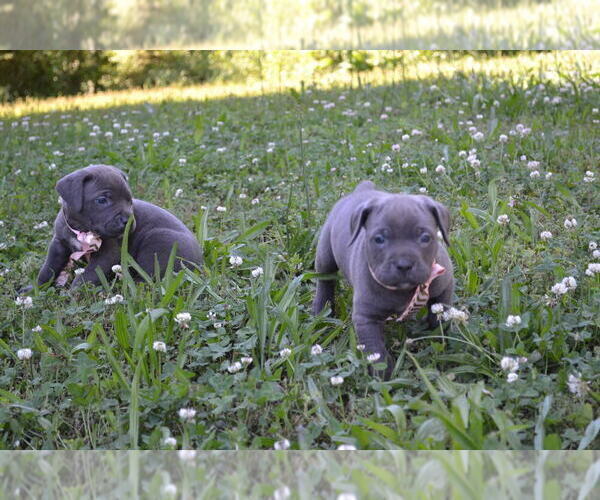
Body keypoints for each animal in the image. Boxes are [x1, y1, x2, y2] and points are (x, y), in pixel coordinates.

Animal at [37, 164, 203, 288]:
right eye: (102, 200)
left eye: (129, 200)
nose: (128, 221)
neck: (82, 231)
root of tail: (200, 263)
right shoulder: (58, 244)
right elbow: (48, 268)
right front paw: (36, 288)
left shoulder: (108, 253)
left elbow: (88, 275)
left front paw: (74, 292)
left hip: (159, 240)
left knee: (149, 278)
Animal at [314, 180, 454, 378]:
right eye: (379, 239)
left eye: (425, 237)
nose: (404, 264)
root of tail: (362, 189)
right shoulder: (366, 318)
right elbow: (375, 348)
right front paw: (382, 373)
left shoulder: (444, 285)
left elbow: (439, 312)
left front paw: (439, 335)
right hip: (325, 252)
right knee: (325, 280)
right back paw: (321, 308)